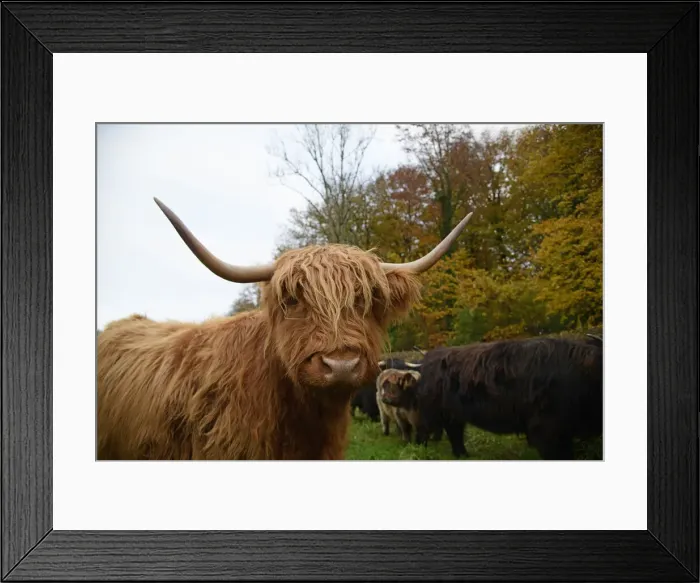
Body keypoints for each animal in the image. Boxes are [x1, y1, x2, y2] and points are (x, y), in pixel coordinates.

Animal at [414, 336, 603, 460]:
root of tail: (425, 360)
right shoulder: (547, 429)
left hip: (453, 413)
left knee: (454, 431)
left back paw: (463, 455)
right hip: (431, 410)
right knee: (423, 430)